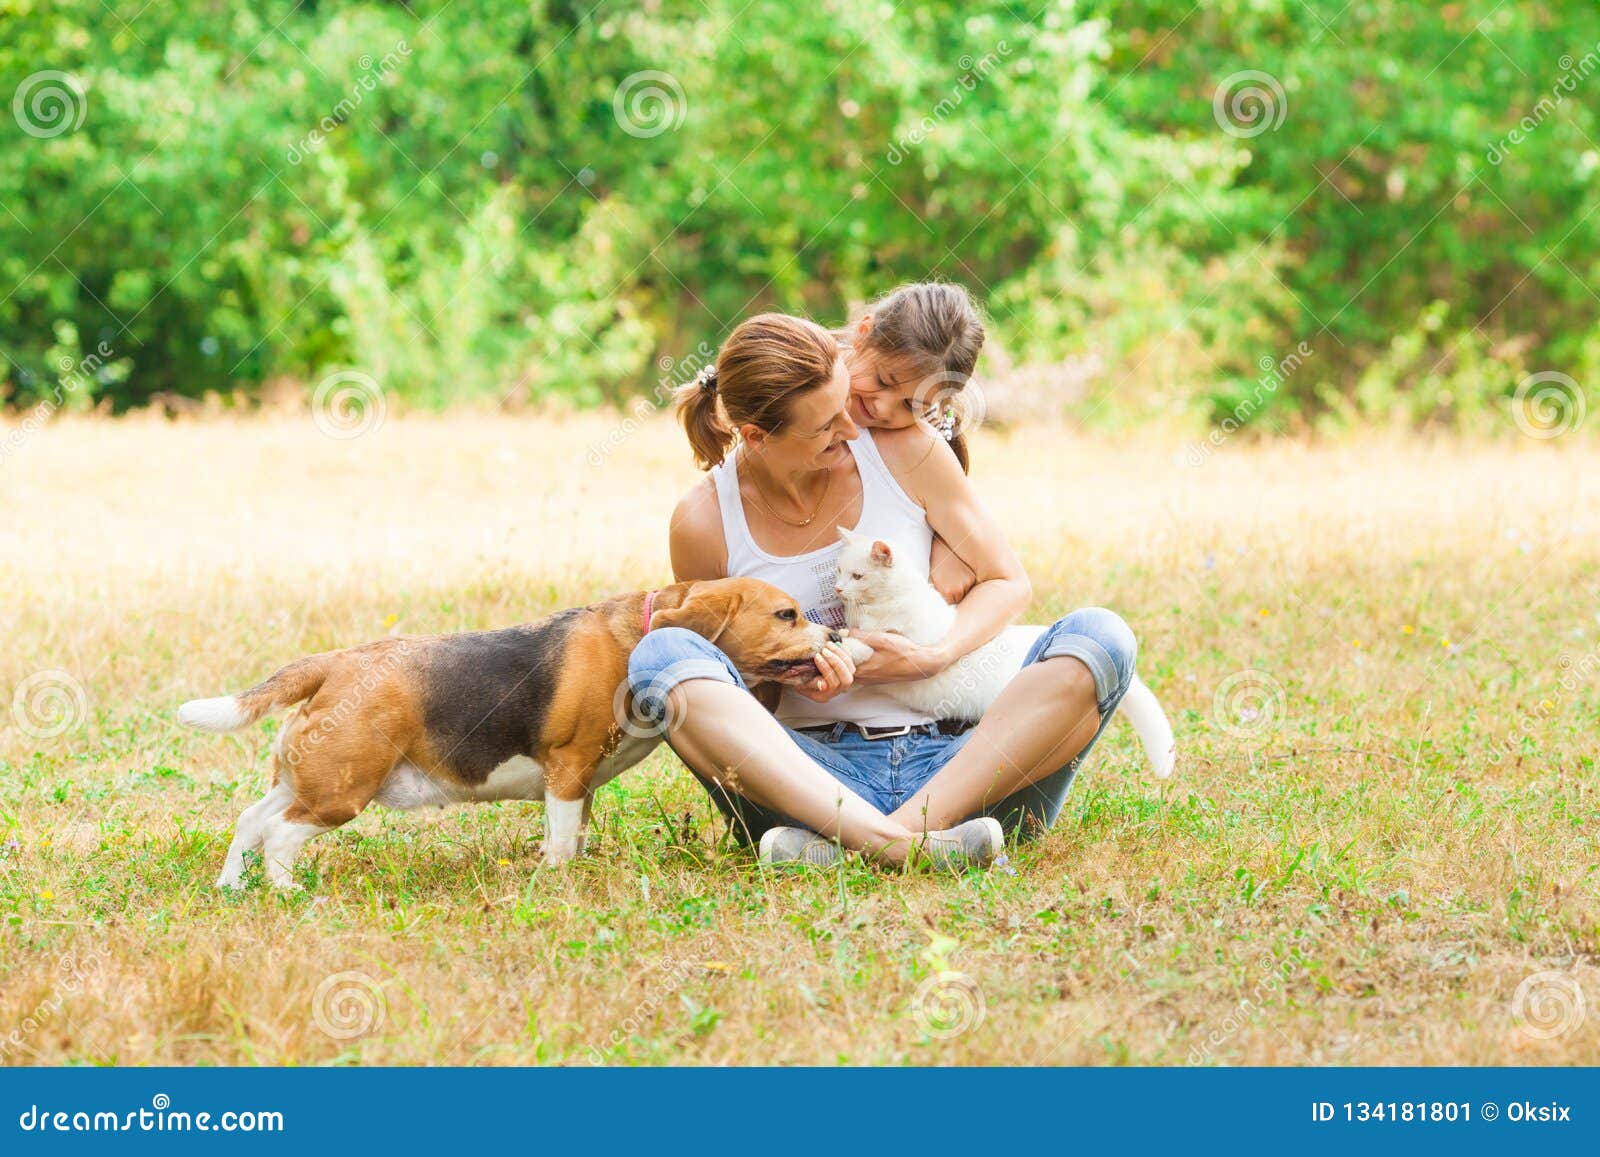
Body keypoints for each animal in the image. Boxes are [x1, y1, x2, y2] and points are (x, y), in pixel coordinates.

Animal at [181, 576, 838, 889]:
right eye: (786, 615)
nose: (834, 636)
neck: (636, 634)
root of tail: (335, 663)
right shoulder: (568, 770)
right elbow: (563, 843)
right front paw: (555, 882)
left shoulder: (577, 786)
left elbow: (568, 837)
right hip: (340, 794)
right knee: (280, 836)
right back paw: (287, 892)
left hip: (306, 781)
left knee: (250, 822)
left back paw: (231, 887)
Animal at [838, 531, 1177, 784]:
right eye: (839, 572)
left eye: (857, 575)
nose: (839, 589)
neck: (886, 602)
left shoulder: (904, 644)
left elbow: (866, 645)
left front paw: (843, 648)